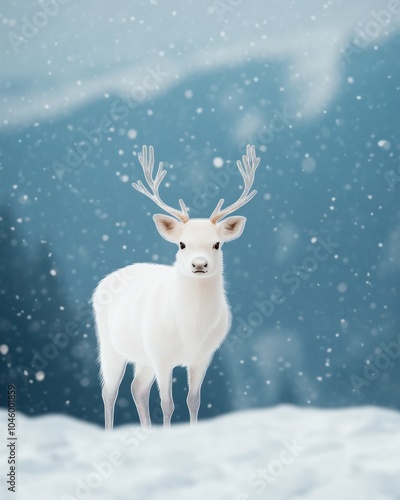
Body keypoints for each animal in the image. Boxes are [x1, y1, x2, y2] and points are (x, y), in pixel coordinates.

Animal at [93, 145, 260, 430]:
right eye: (182, 244)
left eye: (217, 244)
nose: (199, 264)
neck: (191, 328)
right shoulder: (161, 354)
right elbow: (167, 404)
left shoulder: (203, 356)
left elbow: (193, 401)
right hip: (110, 345)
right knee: (109, 391)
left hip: (143, 357)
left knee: (137, 388)